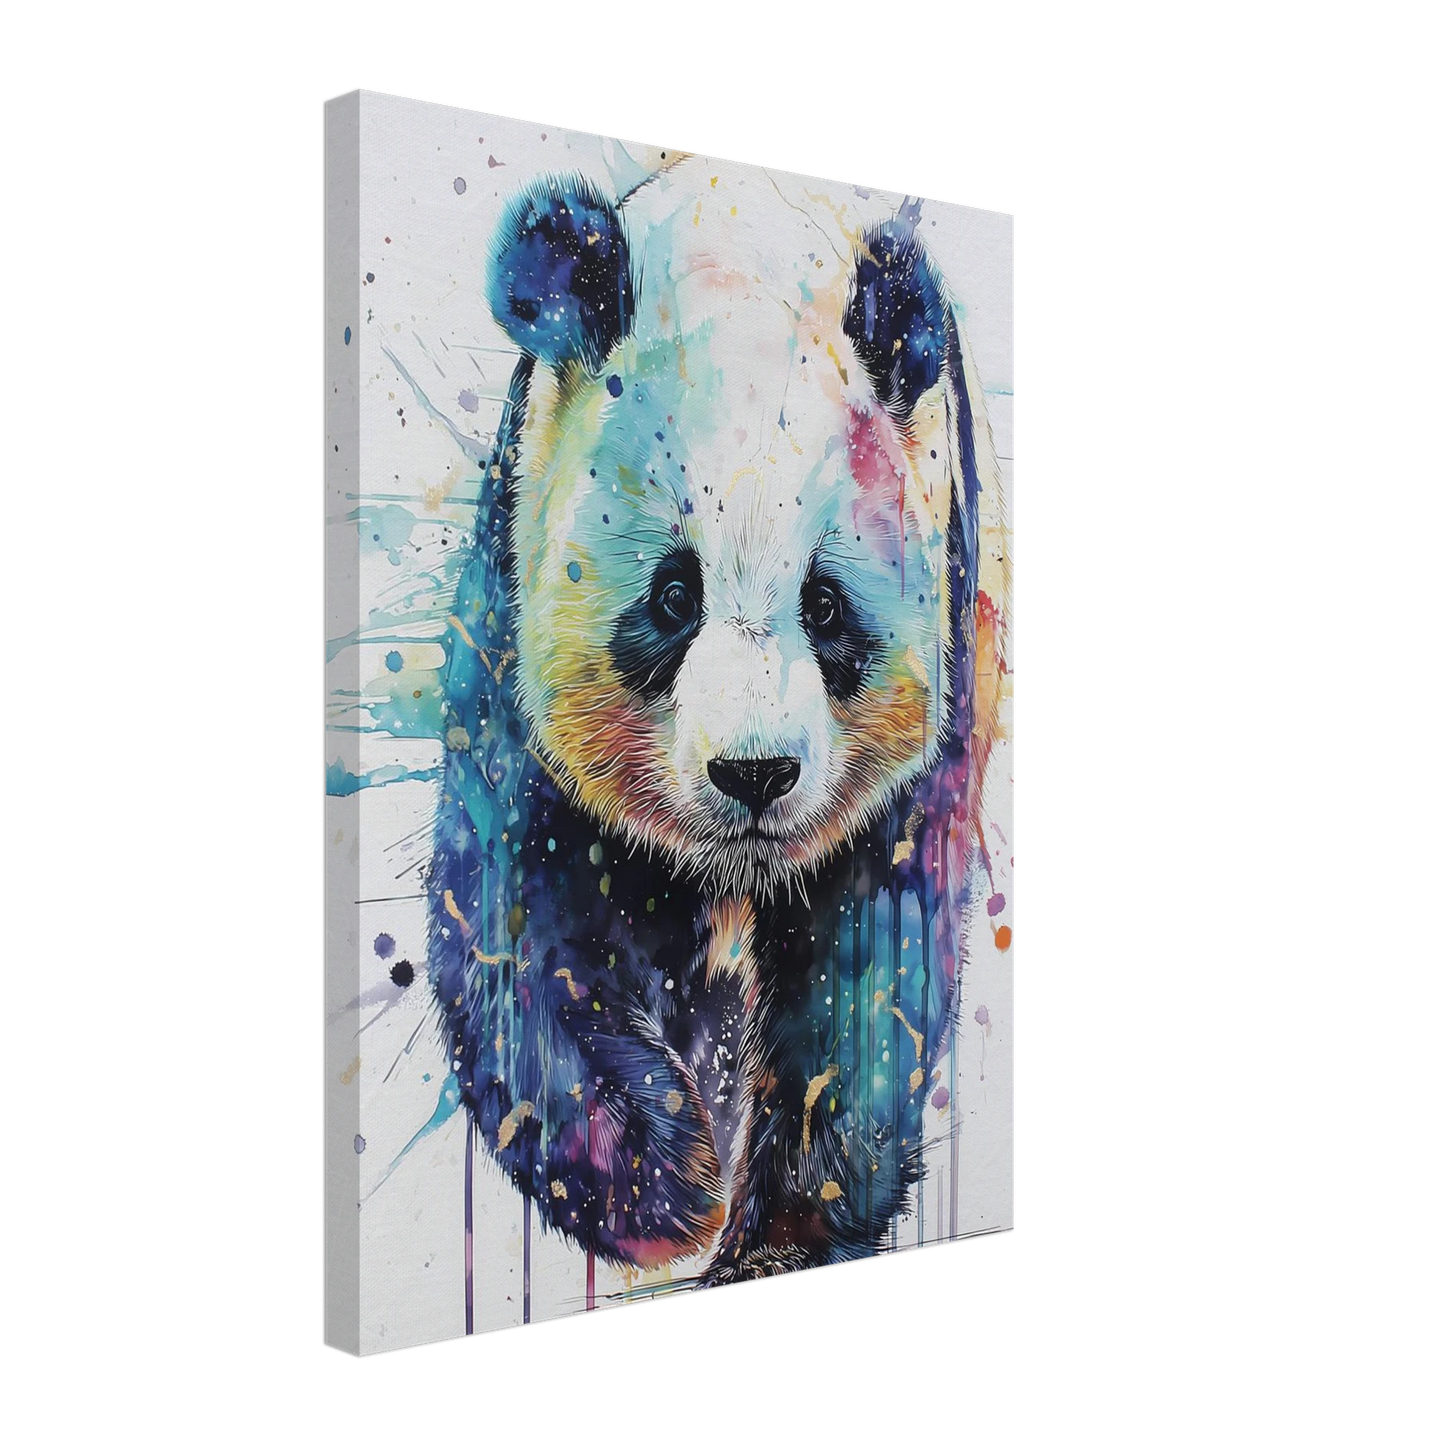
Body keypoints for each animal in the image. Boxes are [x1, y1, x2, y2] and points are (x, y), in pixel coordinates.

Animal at [426, 155, 1006, 1287]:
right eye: (670, 595)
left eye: (825, 605)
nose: (754, 774)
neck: (741, 254)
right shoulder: (512, 622)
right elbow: (514, 916)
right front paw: (664, 1186)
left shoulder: (938, 660)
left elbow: (873, 962)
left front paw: (772, 1235)